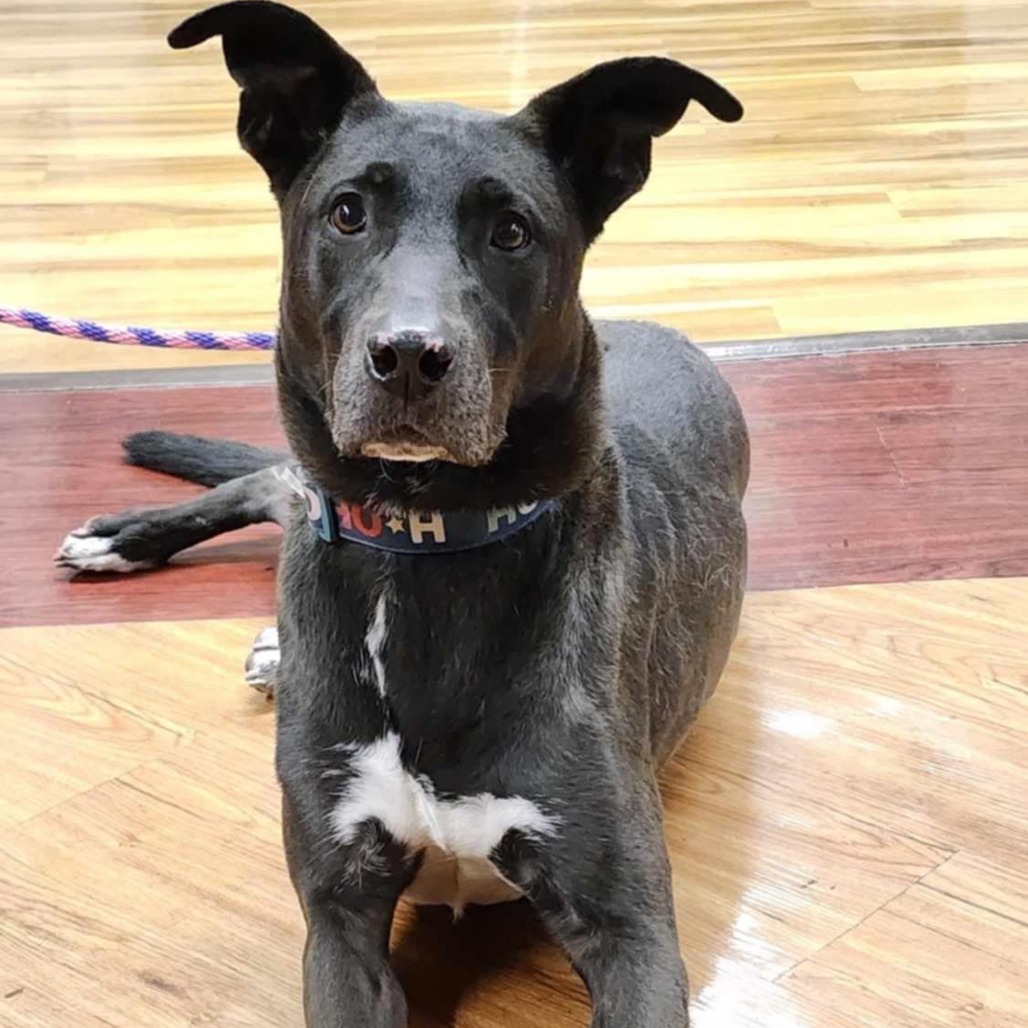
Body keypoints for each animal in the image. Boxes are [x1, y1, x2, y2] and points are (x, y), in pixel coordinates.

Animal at [56, 4, 748, 1023]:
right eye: (349, 212)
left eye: (512, 231)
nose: (411, 356)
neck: (426, 543)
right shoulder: (339, 919)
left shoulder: (632, 931)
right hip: (315, 492)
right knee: (276, 480)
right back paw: (128, 544)